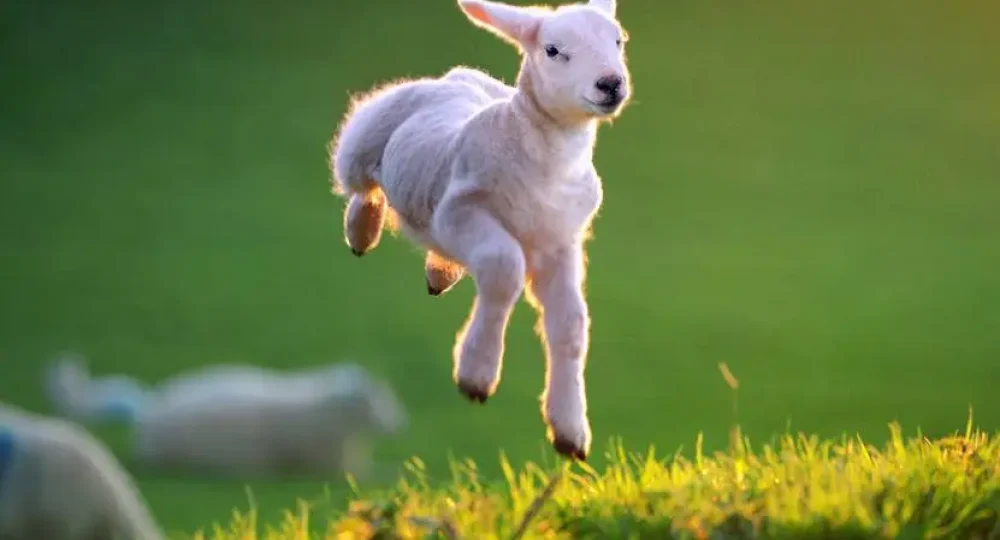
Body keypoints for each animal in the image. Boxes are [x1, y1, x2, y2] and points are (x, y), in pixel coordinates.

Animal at [328, 0, 632, 460]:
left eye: (618, 41)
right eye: (553, 50)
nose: (610, 83)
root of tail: (454, 77)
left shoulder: (561, 242)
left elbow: (571, 324)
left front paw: (570, 430)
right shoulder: (459, 212)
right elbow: (503, 268)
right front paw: (477, 373)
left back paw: (439, 274)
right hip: (362, 142)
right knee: (364, 188)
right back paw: (361, 233)